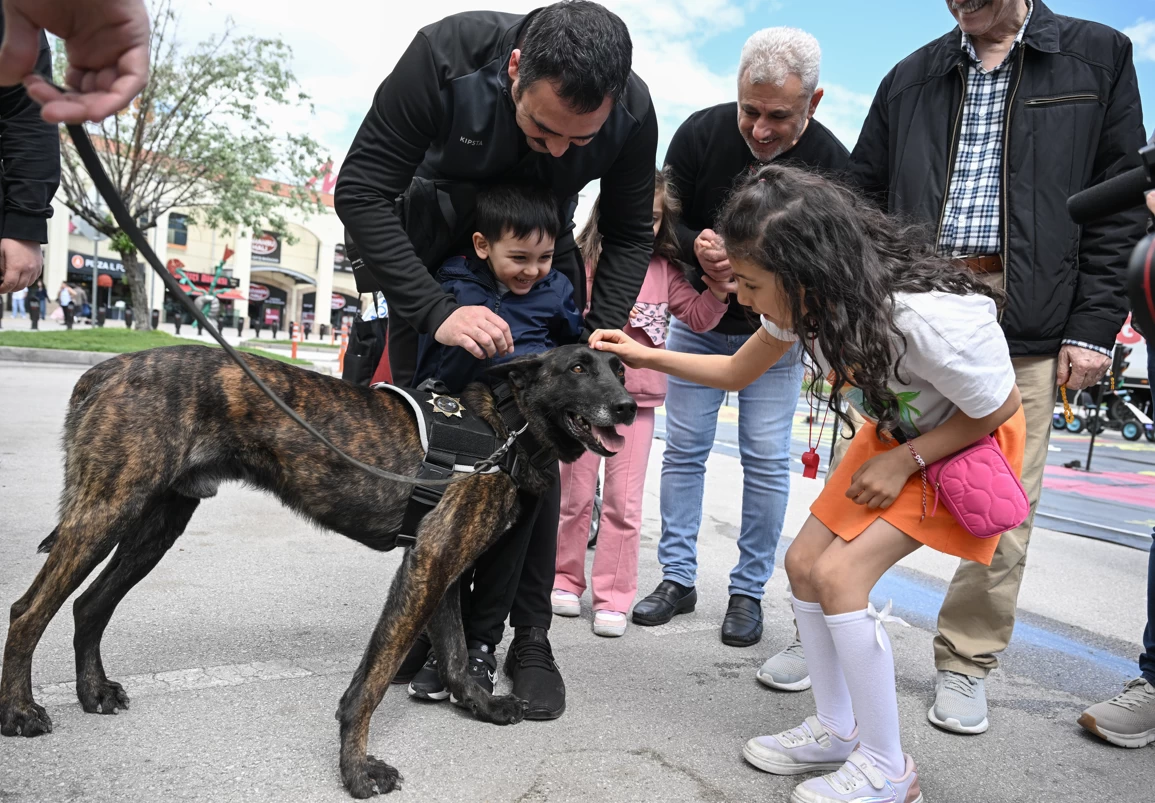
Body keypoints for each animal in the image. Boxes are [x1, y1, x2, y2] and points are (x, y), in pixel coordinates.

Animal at [0, 344, 637, 799]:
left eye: (621, 370)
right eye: (578, 368)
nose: (629, 407)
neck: (506, 427)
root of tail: (105, 370)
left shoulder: (445, 569)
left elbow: (456, 655)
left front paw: (479, 705)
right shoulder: (428, 564)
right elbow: (372, 681)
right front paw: (356, 770)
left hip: (155, 523)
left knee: (90, 604)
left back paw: (92, 692)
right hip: (108, 510)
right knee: (29, 610)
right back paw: (19, 711)